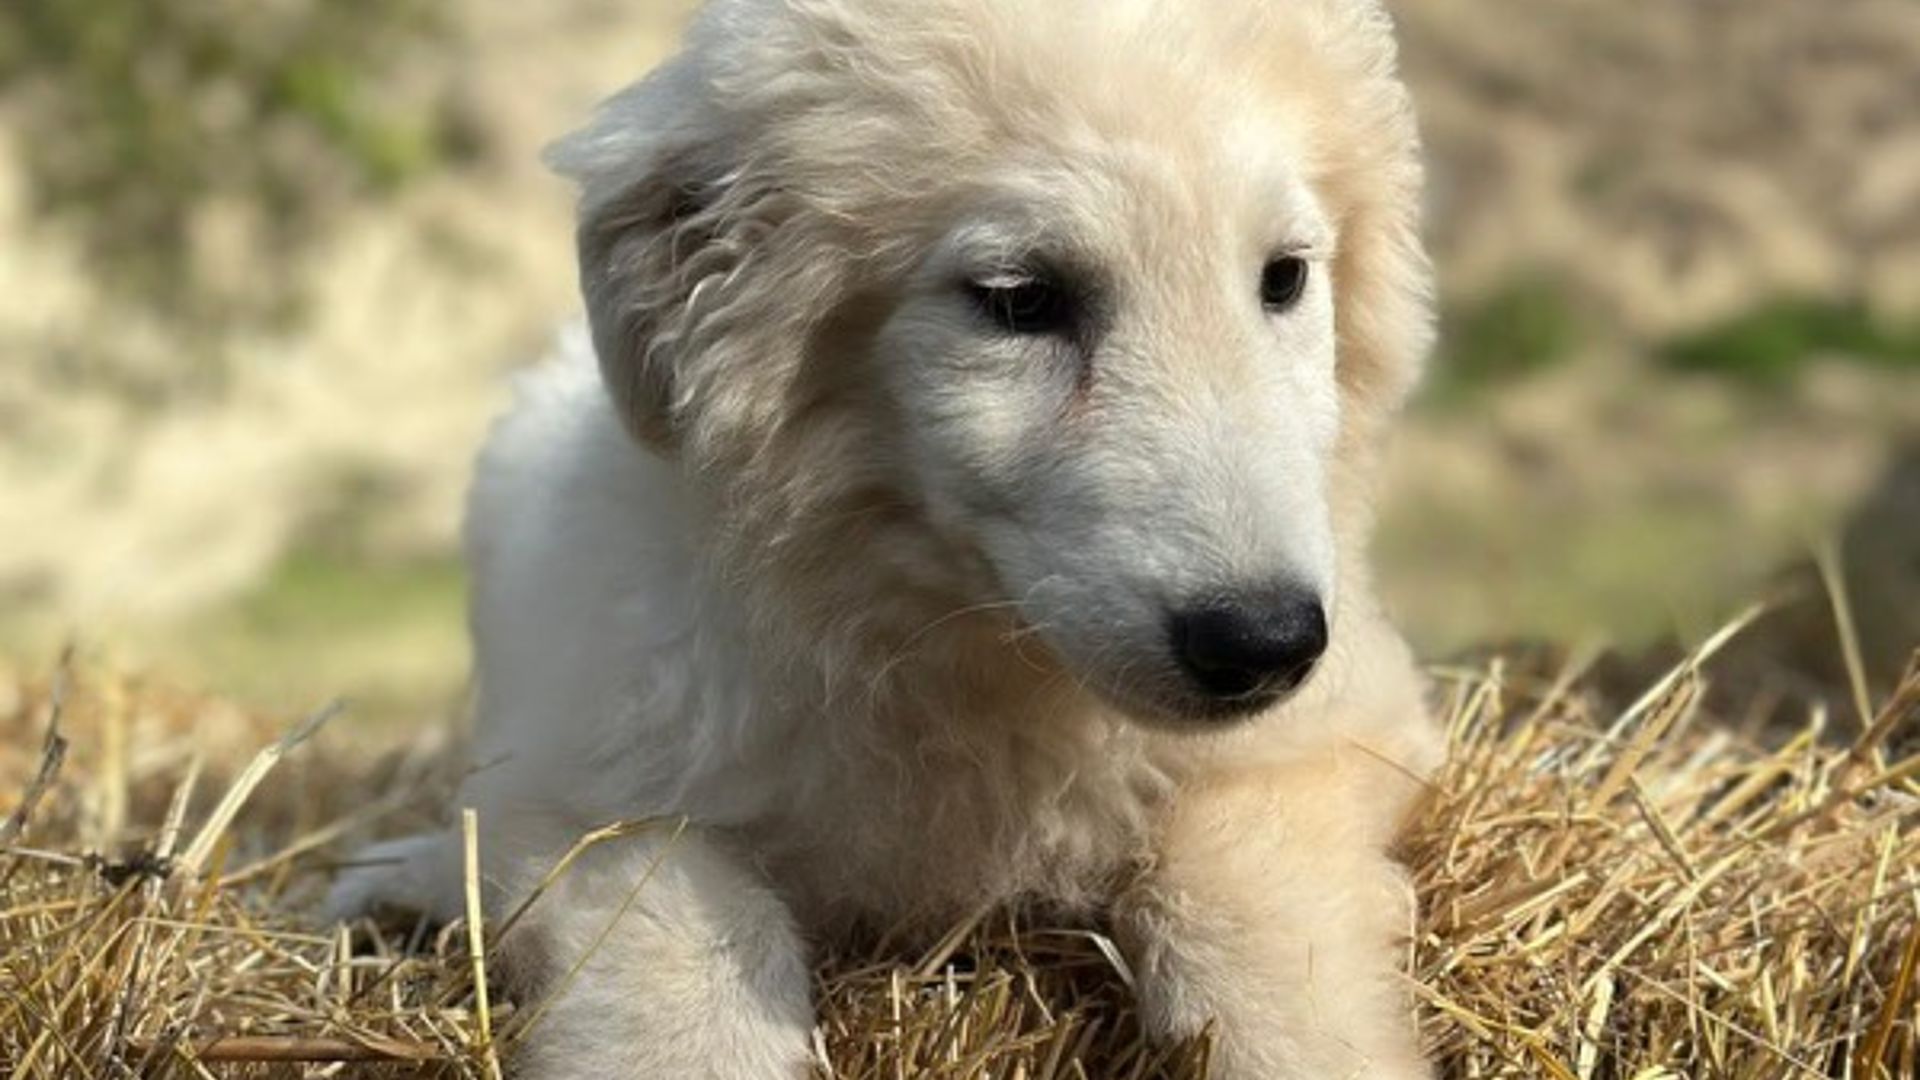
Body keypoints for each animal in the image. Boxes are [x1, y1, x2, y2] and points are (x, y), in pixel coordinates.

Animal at [329, 0, 1444, 1075]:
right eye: (1019, 299)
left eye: (1284, 278)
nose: (1263, 643)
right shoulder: (577, 780)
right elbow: (674, 933)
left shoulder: (1339, 727)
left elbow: (1248, 885)